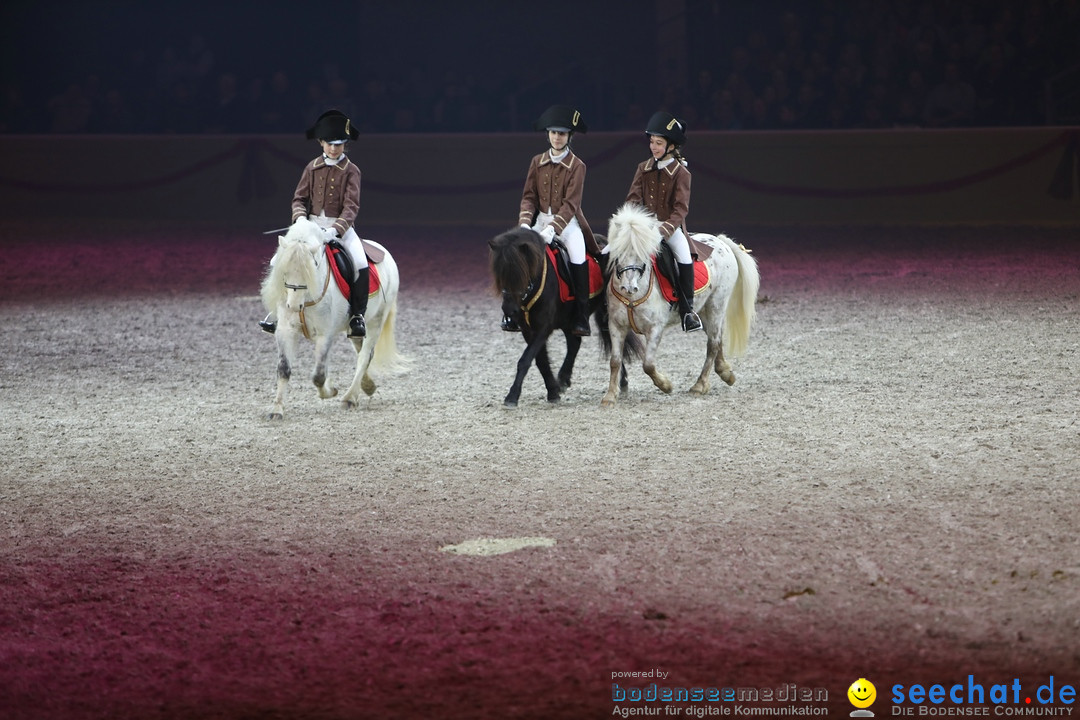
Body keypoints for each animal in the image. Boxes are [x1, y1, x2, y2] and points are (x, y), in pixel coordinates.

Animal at [260, 220, 408, 423]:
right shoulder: (285, 330)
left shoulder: (325, 334)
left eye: (312, 268)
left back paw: (350, 398)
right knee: (361, 350)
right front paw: (277, 410)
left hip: (376, 320)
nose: (294, 306)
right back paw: (367, 386)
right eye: (284, 271)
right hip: (354, 329)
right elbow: (283, 369)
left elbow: (318, 375)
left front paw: (331, 390)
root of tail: (382, 250)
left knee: (364, 356)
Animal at [488, 226, 635, 405]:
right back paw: (564, 379)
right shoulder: (528, 329)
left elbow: (525, 359)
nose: (509, 310)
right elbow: (540, 360)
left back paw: (621, 382)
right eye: (499, 274)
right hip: (569, 318)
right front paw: (553, 391)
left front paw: (512, 396)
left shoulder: (544, 326)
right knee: (575, 343)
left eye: (521, 273)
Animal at [600, 204, 760, 405]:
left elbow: (648, 364)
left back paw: (700, 385)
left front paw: (666, 385)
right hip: (704, 311)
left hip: (716, 305)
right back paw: (725, 372)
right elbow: (615, 361)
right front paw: (610, 396)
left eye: (642, 254)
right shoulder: (616, 326)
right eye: (618, 253)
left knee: (713, 343)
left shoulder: (655, 328)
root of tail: (721, 242)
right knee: (716, 338)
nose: (629, 288)